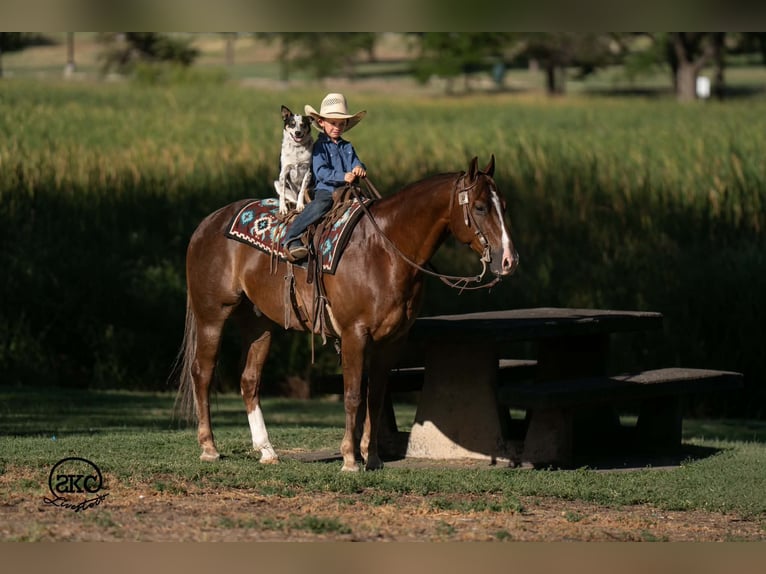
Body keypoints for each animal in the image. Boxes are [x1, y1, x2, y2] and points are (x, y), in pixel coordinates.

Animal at [175, 155, 519, 471]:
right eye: (479, 208)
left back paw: (267, 450)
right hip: (212, 316)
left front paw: (373, 457)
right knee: (202, 373)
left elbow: (375, 397)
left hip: (259, 325)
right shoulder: (355, 334)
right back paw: (209, 447)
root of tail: (208, 223)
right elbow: (353, 395)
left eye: (502, 205)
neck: (385, 251)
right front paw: (350, 460)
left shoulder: (391, 341)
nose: (509, 260)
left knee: (250, 381)